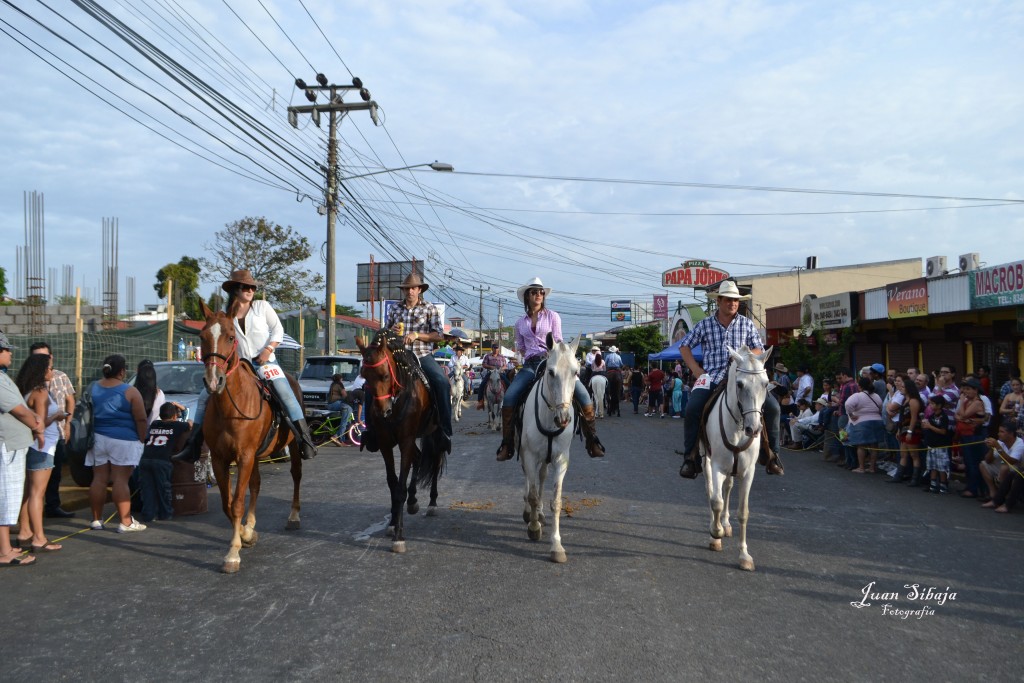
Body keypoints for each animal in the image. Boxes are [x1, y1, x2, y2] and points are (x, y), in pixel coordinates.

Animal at [195, 301, 299, 573]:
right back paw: (250, 525)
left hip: (293, 447)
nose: (213, 381)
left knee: (296, 475)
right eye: (202, 336)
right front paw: (245, 534)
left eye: (231, 337)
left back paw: (294, 516)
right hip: (256, 456)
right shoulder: (221, 459)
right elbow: (227, 503)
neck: (230, 407)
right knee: (256, 484)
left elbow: (237, 503)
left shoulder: (244, 456)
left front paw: (233, 553)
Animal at [356, 327, 444, 552]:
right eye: (364, 376)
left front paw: (399, 536)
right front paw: (393, 523)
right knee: (419, 459)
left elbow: (400, 488)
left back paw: (432, 503)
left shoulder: (405, 440)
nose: (382, 411)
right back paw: (413, 501)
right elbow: (393, 483)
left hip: (435, 434)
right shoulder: (385, 443)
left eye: (385, 375)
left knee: (435, 460)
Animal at [516, 335, 581, 565]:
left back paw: (541, 514)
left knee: (542, 476)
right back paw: (530, 513)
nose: (563, 418)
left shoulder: (561, 459)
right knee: (529, 480)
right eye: (551, 372)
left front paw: (557, 546)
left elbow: (557, 501)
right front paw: (534, 528)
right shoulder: (529, 454)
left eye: (576, 371)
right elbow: (533, 495)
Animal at [700, 344, 770, 573]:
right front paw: (716, 534)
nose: (754, 428)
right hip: (706, 460)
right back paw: (716, 526)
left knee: (728, 487)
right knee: (711, 490)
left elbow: (743, 512)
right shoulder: (716, 466)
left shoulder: (748, 472)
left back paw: (726, 523)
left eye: (766, 384)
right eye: (739, 384)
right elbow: (716, 501)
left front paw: (744, 555)